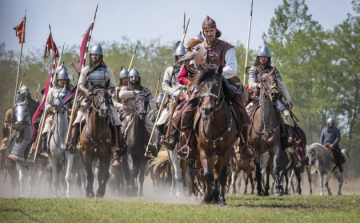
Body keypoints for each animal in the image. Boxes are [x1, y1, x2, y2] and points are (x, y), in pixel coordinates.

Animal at [195, 64, 238, 204]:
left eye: (217, 85)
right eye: (202, 85)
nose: (207, 109)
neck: (214, 124)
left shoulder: (226, 151)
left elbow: (222, 176)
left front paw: (220, 198)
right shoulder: (203, 149)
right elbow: (207, 174)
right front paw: (207, 197)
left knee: (217, 172)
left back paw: (217, 196)